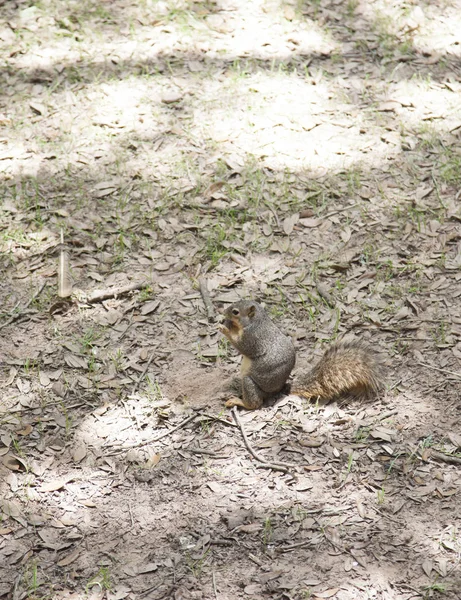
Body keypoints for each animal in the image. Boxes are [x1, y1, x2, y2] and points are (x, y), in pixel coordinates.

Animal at [218, 298, 380, 408]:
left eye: (235, 312)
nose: (224, 312)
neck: (256, 321)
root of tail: (278, 391)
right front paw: (226, 324)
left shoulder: (252, 338)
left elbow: (243, 347)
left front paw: (224, 329)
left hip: (251, 383)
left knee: (255, 403)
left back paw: (239, 401)